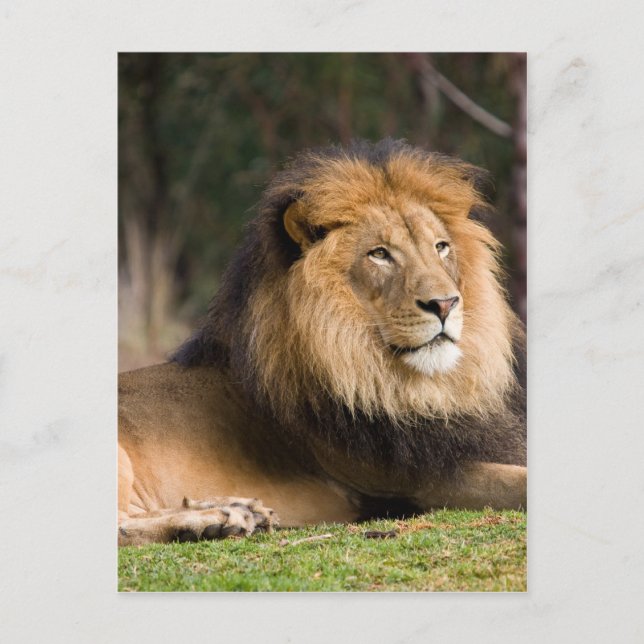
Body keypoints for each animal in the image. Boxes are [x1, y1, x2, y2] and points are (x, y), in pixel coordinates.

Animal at [118, 139, 526, 546]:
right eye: (380, 254)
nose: (445, 304)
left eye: (441, 247)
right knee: (123, 526)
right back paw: (213, 519)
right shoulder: (417, 480)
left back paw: (240, 510)